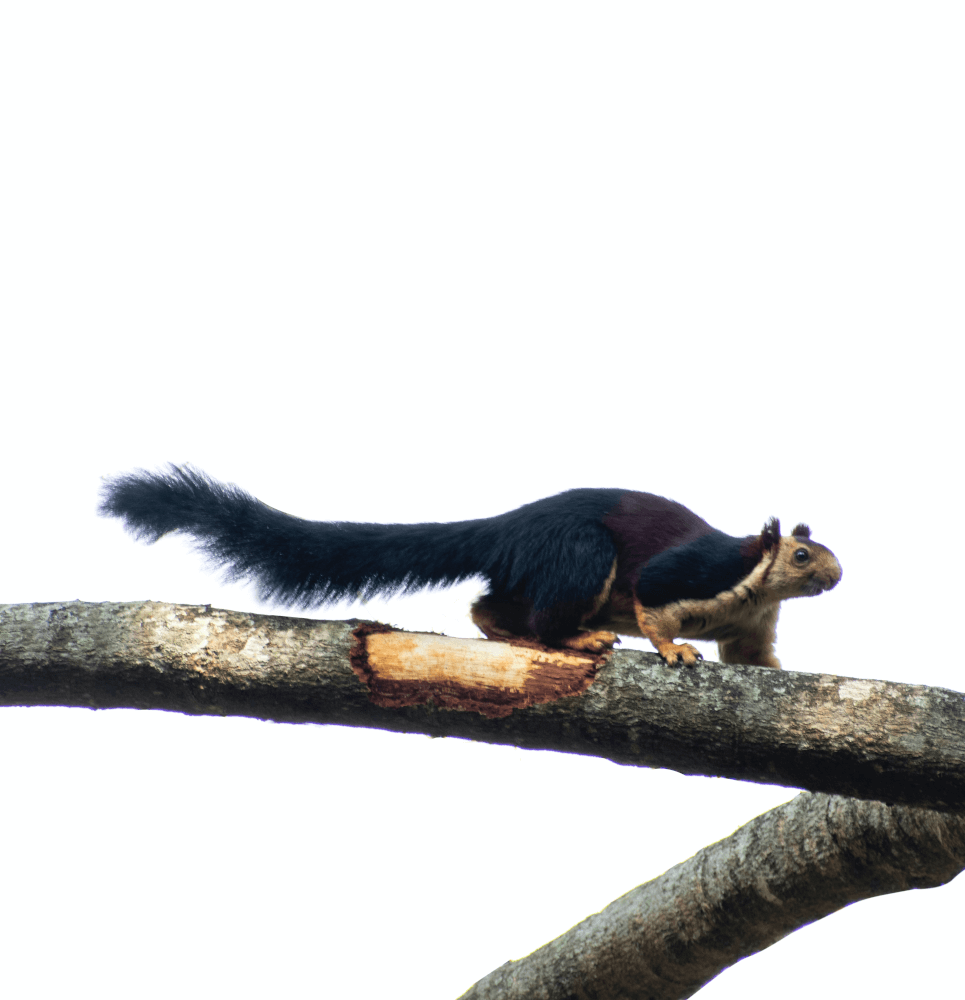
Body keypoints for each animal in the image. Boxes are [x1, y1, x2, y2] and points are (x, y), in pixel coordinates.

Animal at [96, 468, 836, 672]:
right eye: (802, 555)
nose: (836, 575)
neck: (752, 585)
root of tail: (507, 526)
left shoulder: (752, 624)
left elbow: (753, 659)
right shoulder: (698, 570)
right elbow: (654, 598)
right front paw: (673, 647)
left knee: (488, 606)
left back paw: (508, 632)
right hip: (580, 556)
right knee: (545, 612)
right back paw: (576, 638)